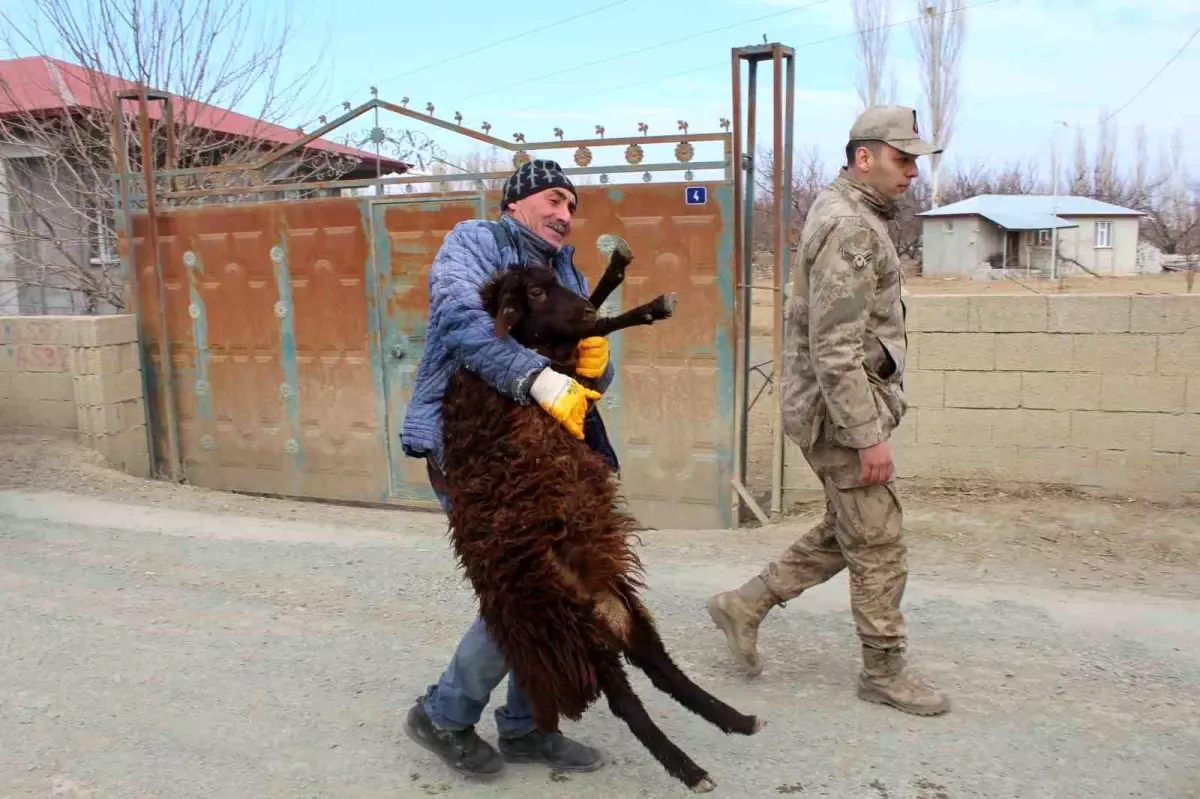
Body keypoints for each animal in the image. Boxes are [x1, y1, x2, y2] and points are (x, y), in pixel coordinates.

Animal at [441, 242, 758, 791]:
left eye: (552, 281)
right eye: (535, 292)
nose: (579, 307)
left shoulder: (571, 366)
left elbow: (590, 330)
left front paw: (616, 275)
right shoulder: (547, 371)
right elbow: (595, 331)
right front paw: (646, 305)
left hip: (625, 612)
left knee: (664, 672)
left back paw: (735, 720)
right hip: (577, 635)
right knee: (628, 703)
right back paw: (691, 769)